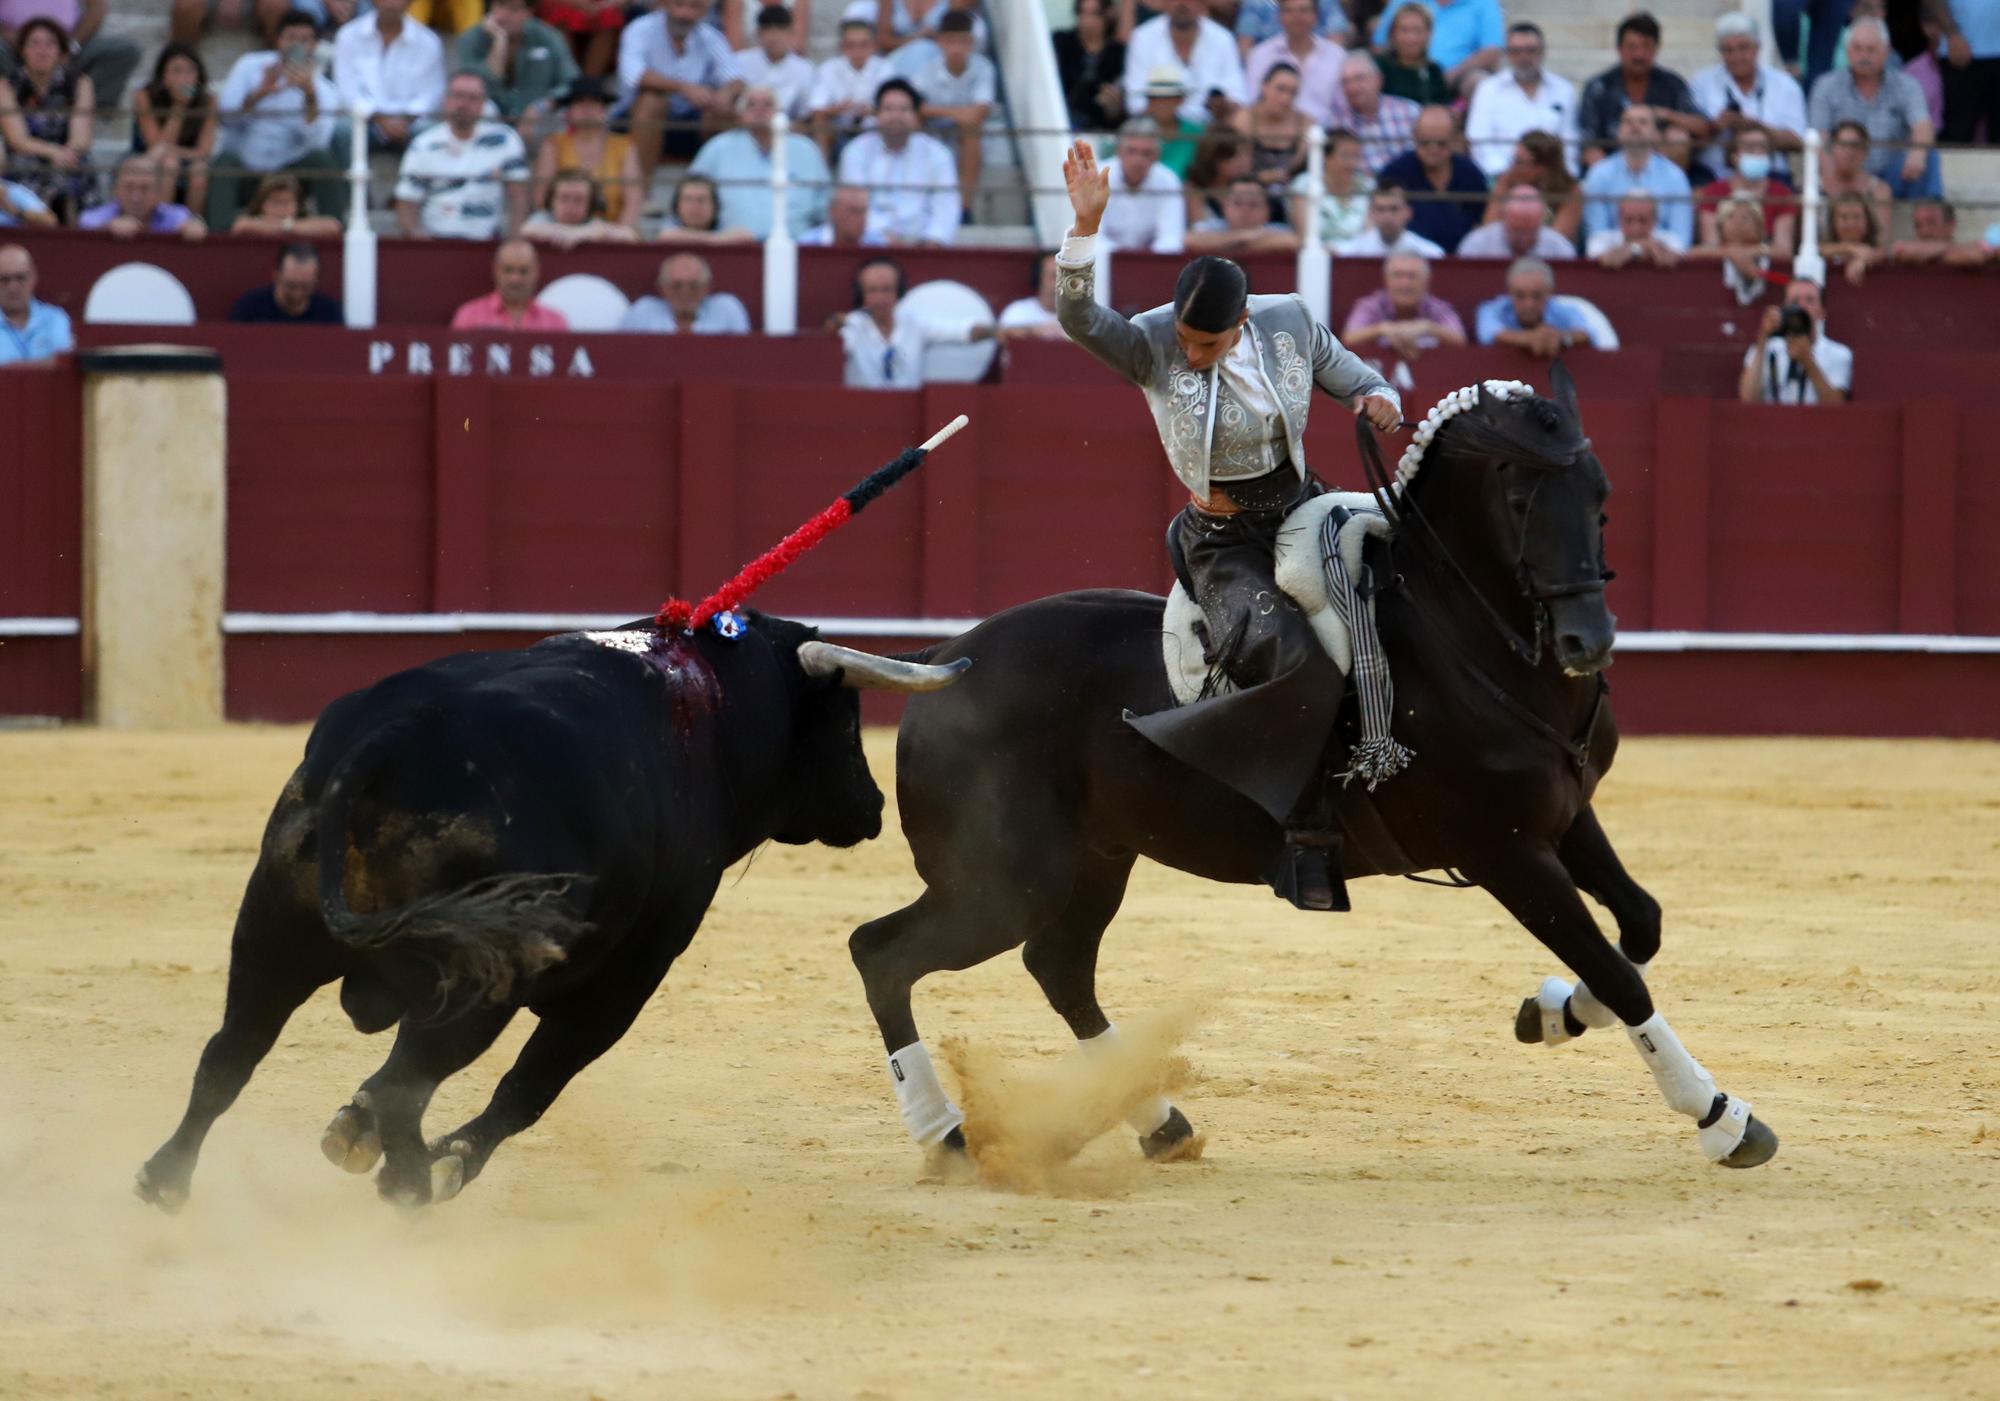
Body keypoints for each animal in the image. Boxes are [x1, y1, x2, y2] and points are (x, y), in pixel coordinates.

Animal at [137, 616, 964, 1208]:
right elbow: (531, 1085)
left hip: (274, 928)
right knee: (414, 1079)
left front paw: (352, 1125)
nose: (873, 805)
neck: (711, 706)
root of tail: (388, 743)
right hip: (479, 980)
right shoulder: (623, 983)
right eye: (848, 722)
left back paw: (166, 1178)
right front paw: (445, 1162)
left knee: (231, 1052)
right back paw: (412, 1186)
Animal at [852, 370, 1776, 1168]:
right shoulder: (1506, 848)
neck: (1458, 638)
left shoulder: (1565, 815)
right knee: (883, 952)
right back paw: (946, 1133)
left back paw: (1159, 1122)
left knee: (1059, 967)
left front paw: (1547, 1013)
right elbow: (1619, 970)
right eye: (1518, 501)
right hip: (1003, 881)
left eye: (1602, 497)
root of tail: (945, 658)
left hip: (1094, 861)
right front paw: (1722, 1117)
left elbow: (1639, 927)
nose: (1591, 642)